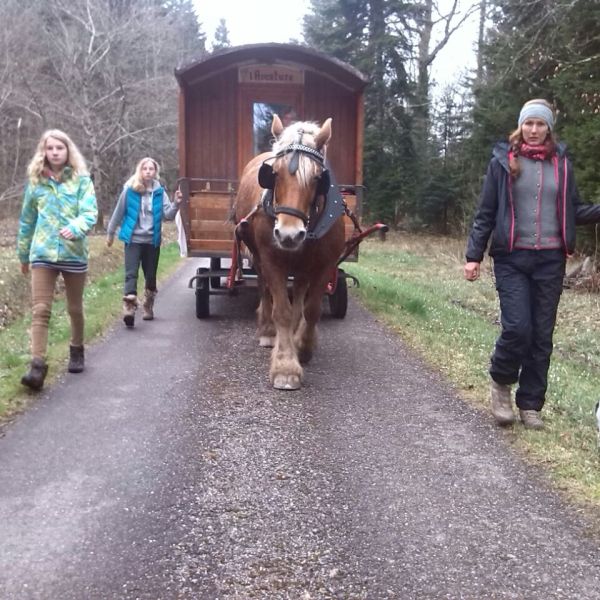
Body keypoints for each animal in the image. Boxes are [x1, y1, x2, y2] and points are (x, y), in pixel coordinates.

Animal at [234, 115, 346, 392]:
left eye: (318, 177)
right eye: (273, 173)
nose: (288, 235)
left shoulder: (324, 265)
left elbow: (311, 310)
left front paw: (302, 347)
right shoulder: (272, 261)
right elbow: (282, 311)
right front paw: (285, 366)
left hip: (303, 267)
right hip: (258, 257)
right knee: (264, 290)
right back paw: (267, 331)